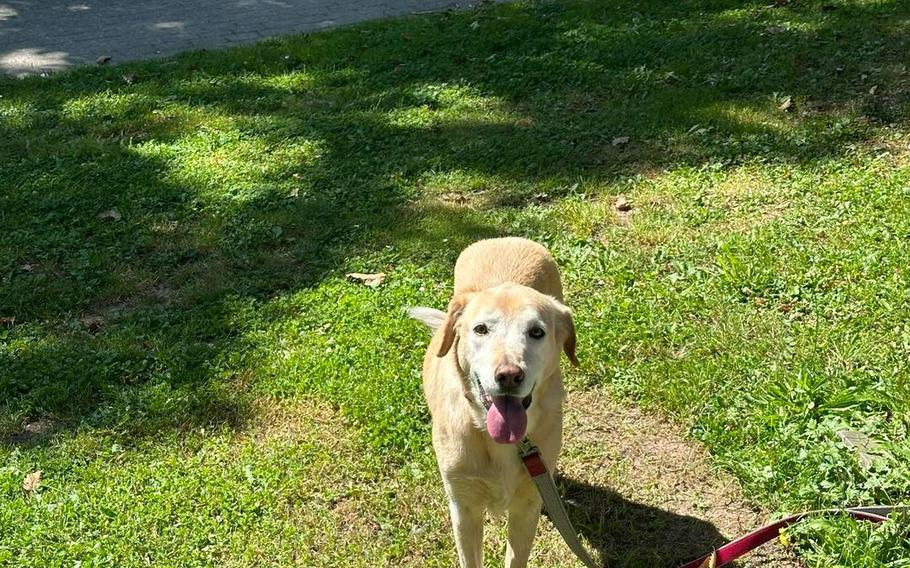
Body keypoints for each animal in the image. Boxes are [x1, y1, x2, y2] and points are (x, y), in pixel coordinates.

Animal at [412, 237, 576, 568]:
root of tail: (506, 238)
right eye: (481, 329)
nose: (509, 375)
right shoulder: (464, 509)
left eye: (536, 332)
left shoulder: (526, 508)